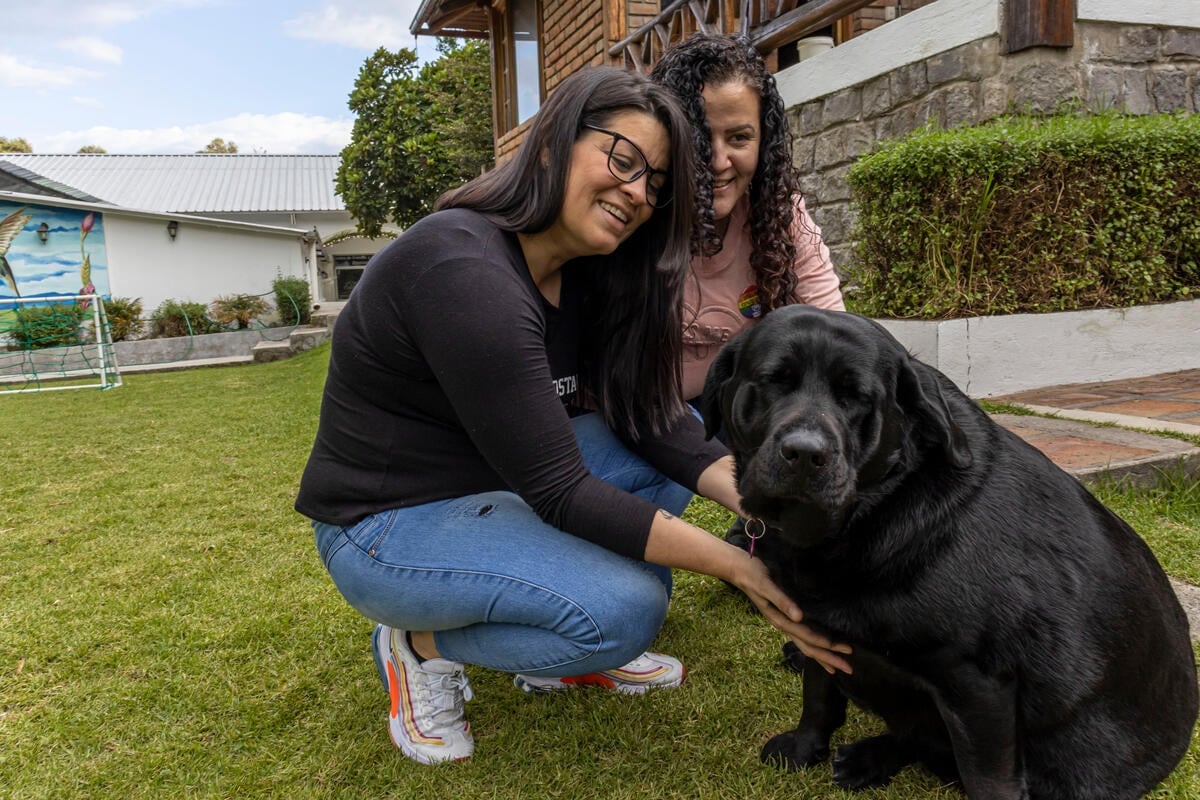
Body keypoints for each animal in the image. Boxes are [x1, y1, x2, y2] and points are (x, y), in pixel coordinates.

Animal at [700, 307, 1195, 800]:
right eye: (774, 380)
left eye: (857, 397)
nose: (804, 454)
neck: (879, 506)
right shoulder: (819, 632)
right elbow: (819, 695)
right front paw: (805, 749)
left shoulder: (979, 684)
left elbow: (987, 780)